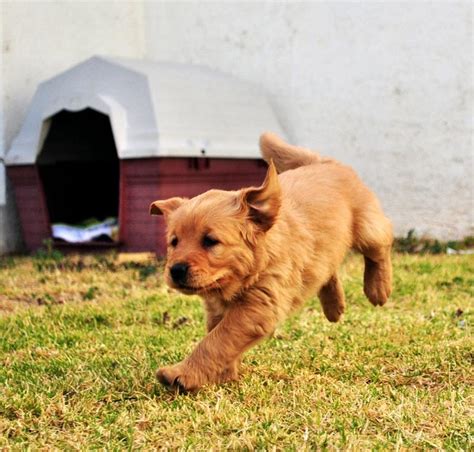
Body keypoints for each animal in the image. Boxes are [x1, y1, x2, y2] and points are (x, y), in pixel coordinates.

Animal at [149, 132, 392, 392]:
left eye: (210, 241)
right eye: (174, 242)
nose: (176, 270)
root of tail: (322, 162)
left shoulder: (258, 306)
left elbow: (216, 341)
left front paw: (182, 374)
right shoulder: (219, 310)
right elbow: (218, 338)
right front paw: (223, 375)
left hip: (367, 229)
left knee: (382, 244)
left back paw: (378, 289)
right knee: (327, 267)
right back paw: (334, 307)